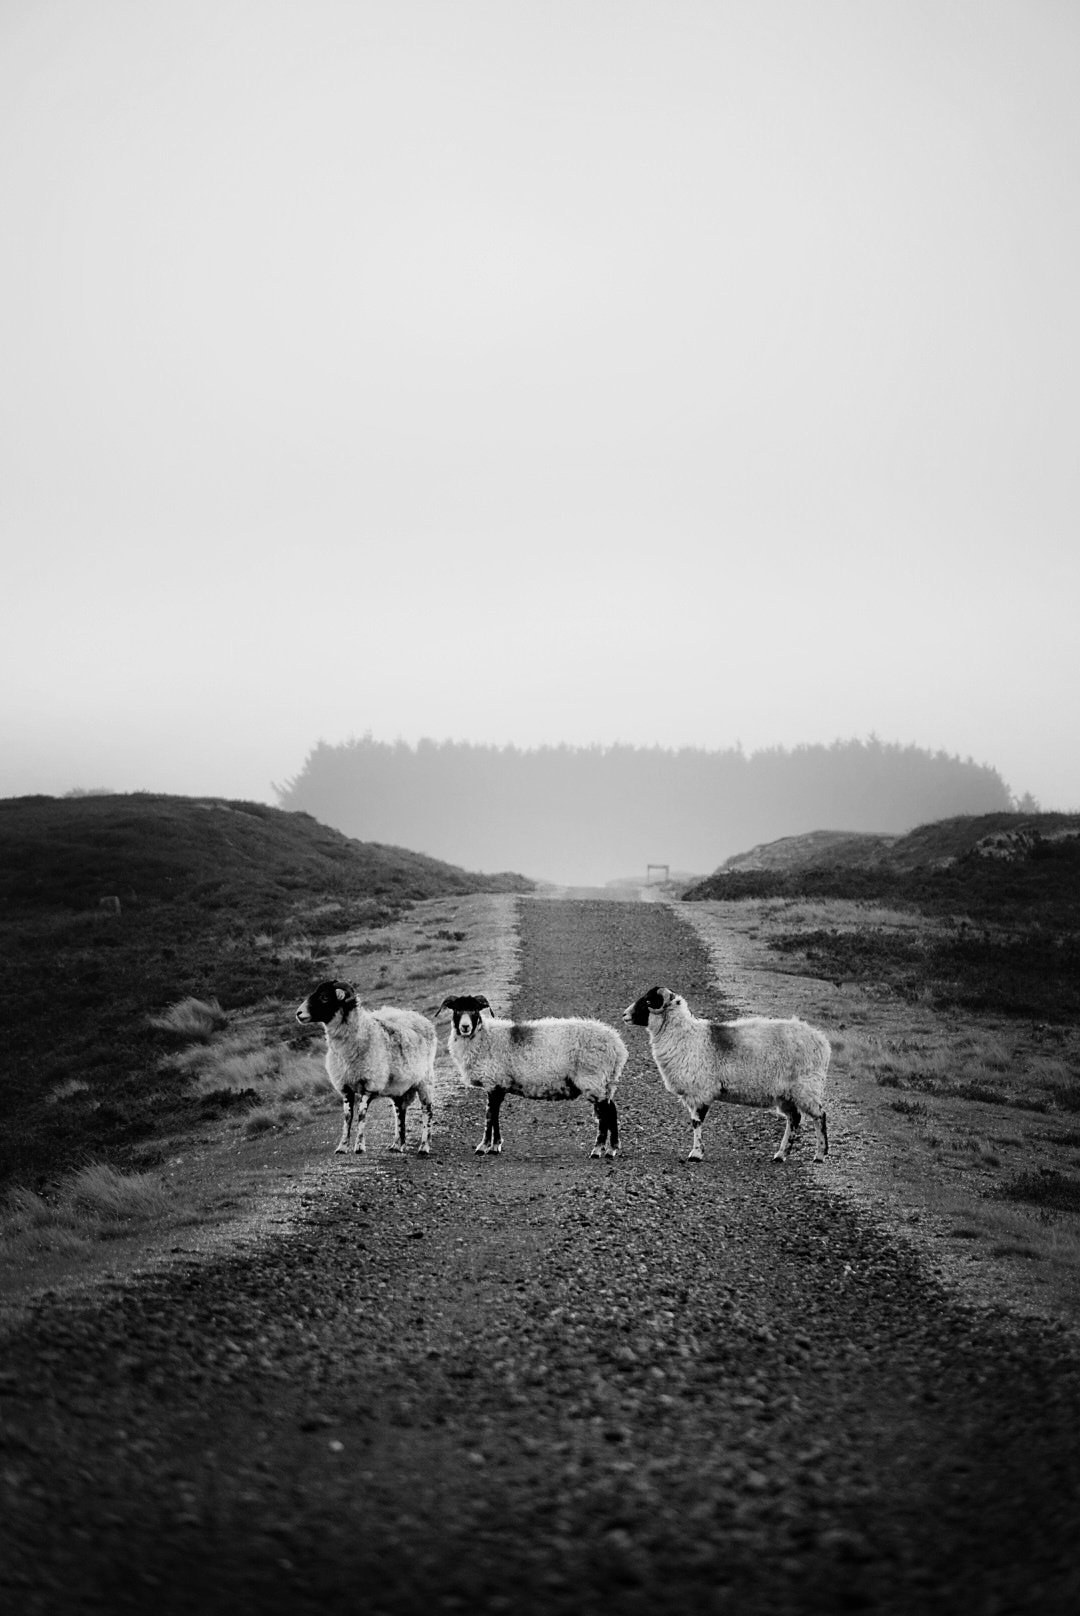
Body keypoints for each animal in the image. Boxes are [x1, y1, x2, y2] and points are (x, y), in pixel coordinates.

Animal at [295, 981, 436, 1156]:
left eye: (325, 997)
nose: (298, 1013)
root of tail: (418, 1017)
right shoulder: (345, 1087)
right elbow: (347, 1117)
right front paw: (342, 1147)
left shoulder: (369, 1085)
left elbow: (361, 1115)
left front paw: (359, 1146)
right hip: (398, 1089)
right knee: (400, 1113)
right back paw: (397, 1145)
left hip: (425, 1081)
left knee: (427, 1112)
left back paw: (424, 1147)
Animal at [435, 994, 628, 1158]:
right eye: (456, 1010)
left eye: (475, 1010)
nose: (465, 1027)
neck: (484, 1037)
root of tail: (617, 1045)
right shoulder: (498, 1085)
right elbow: (495, 1115)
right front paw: (495, 1146)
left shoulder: (493, 1081)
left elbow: (489, 1116)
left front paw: (483, 1147)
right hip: (604, 1082)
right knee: (611, 1110)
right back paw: (612, 1149)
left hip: (592, 1079)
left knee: (605, 1115)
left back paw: (598, 1150)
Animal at [624, 986, 829, 1164]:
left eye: (648, 1000)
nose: (624, 1015)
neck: (685, 1037)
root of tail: (821, 1040)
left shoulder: (701, 1092)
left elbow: (696, 1123)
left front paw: (696, 1154)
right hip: (786, 1094)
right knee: (794, 1118)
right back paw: (781, 1154)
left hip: (806, 1087)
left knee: (820, 1116)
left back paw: (820, 1154)